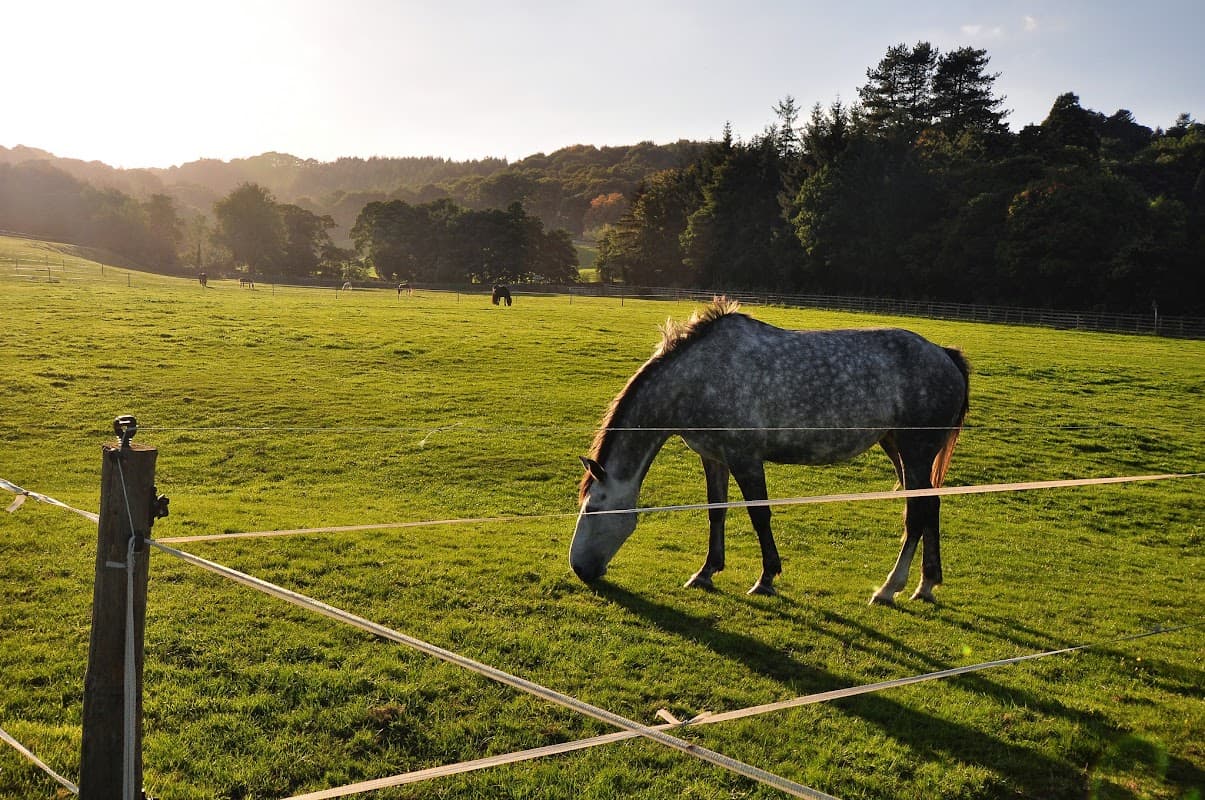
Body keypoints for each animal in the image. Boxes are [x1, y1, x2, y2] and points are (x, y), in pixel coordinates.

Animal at [570, 298, 970, 605]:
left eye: (594, 509)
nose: (579, 569)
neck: (697, 377)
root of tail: (945, 355)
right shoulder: (714, 456)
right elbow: (716, 511)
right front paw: (706, 572)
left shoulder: (745, 458)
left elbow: (759, 514)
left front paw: (766, 578)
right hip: (898, 447)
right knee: (930, 506)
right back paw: (926, 584)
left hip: (915, 450)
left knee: (916, 514)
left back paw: (888, 589)